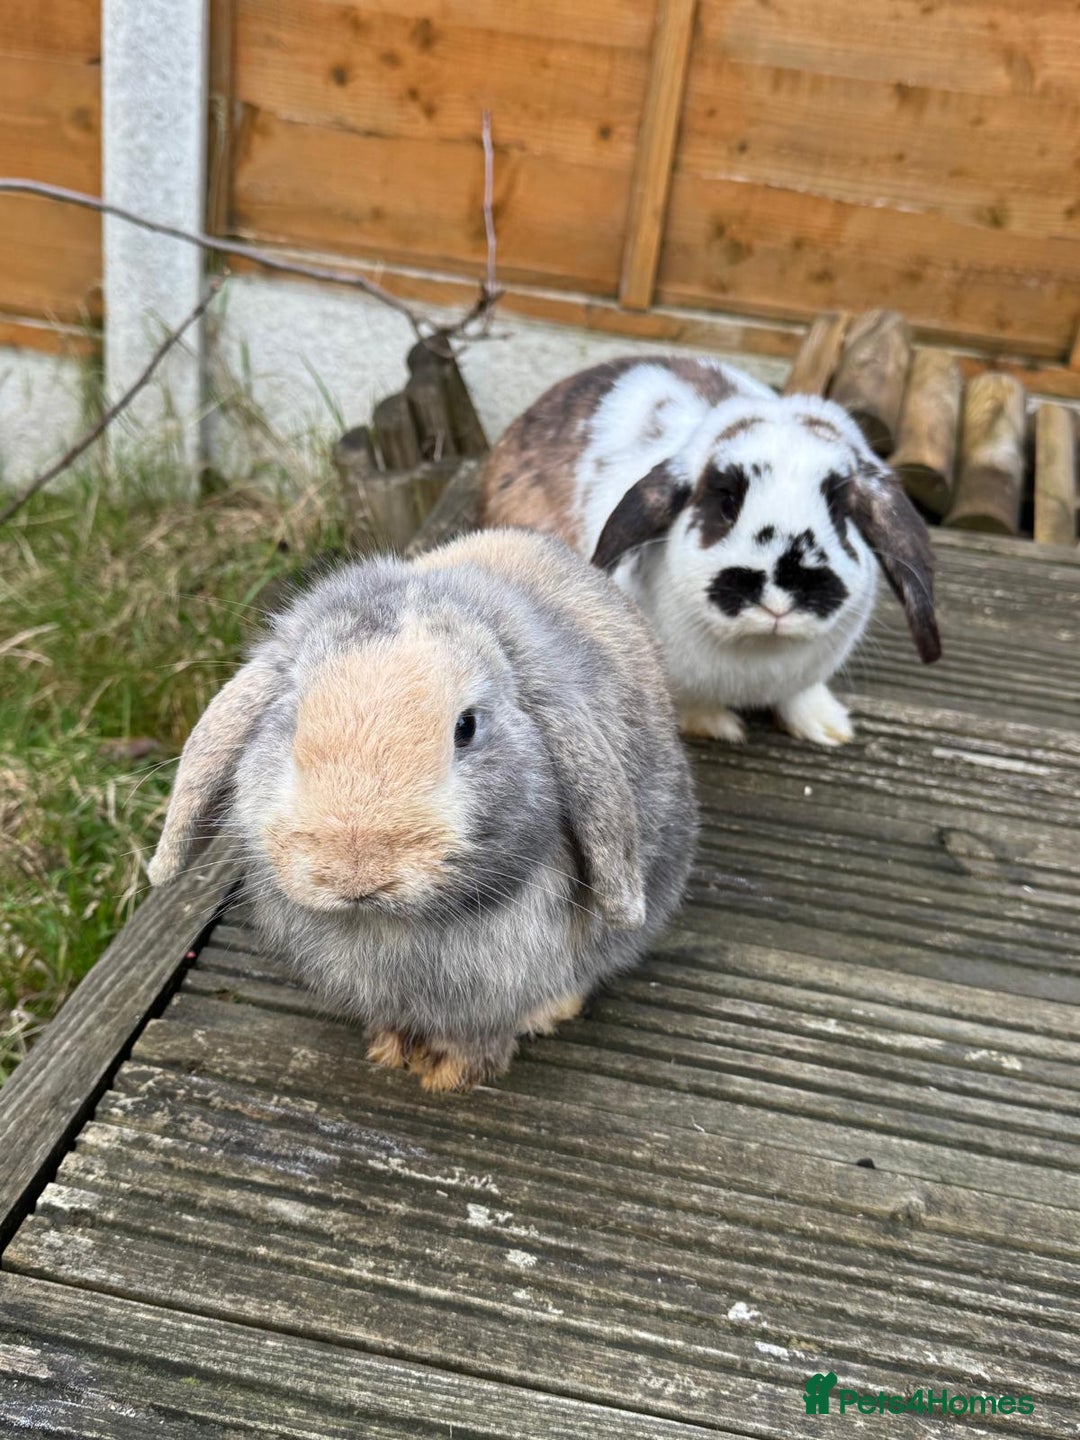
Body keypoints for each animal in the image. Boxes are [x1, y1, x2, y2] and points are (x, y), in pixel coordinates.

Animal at [148, 528, 697, 1093]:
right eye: (294, 717)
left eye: (466, 727)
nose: (356, 873)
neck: (390, 926)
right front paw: (392, 1049)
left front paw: (450, 1073)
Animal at [480, 356, 941, 746]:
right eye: (726, 501)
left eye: (841, 506)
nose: (779, 596)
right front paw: (718, 726)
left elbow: (800, 696)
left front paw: (827, 727)